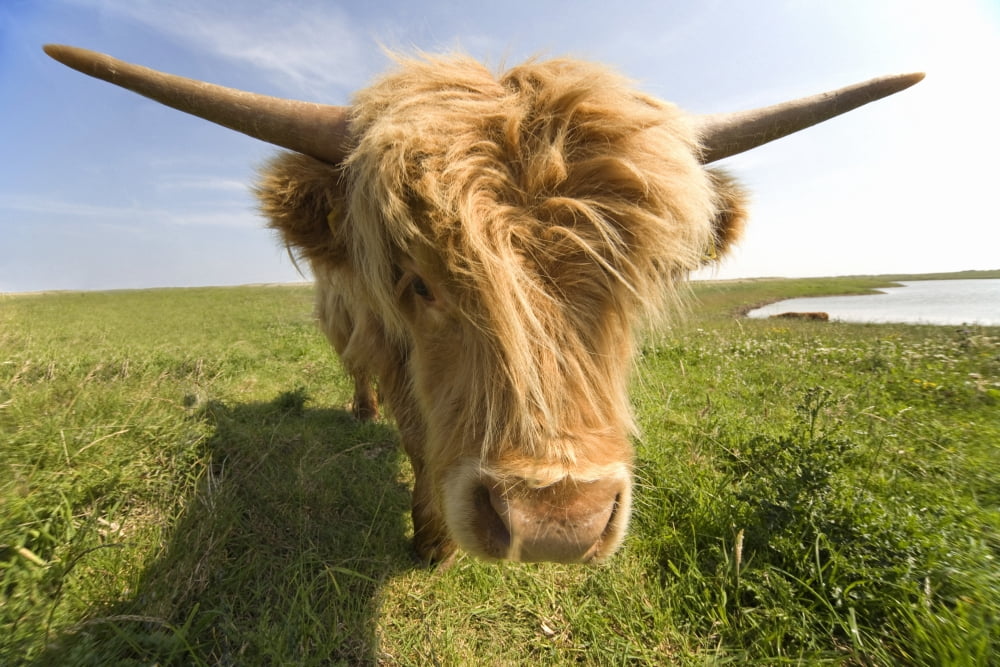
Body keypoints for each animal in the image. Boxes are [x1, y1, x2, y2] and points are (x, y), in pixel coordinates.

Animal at [44, 45, 922, 563]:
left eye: (637, 276)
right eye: (416, 277)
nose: (558, 523)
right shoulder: (397, 355)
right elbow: (417, 440)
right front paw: (429, 540)